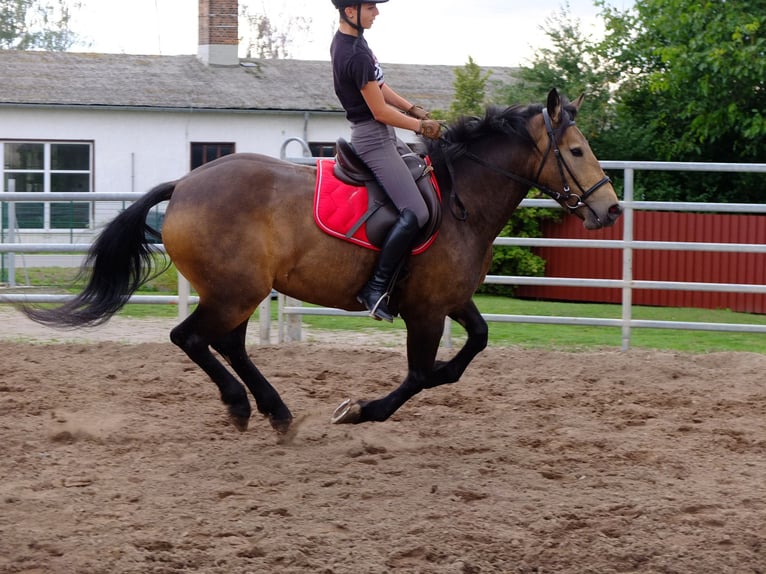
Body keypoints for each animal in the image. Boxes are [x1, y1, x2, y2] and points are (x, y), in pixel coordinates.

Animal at [24, 88, 624, 434]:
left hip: (240, 292)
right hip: (235, 290)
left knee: (227, 344)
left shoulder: (450, 300)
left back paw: (275, 411)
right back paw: (244, 407)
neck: (462, 199)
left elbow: (469, 348)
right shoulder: (426, 310)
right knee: (191, 338)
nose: (611, 208)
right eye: (575, 151)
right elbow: (418, 375)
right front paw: (359, 410)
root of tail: (186, 183)